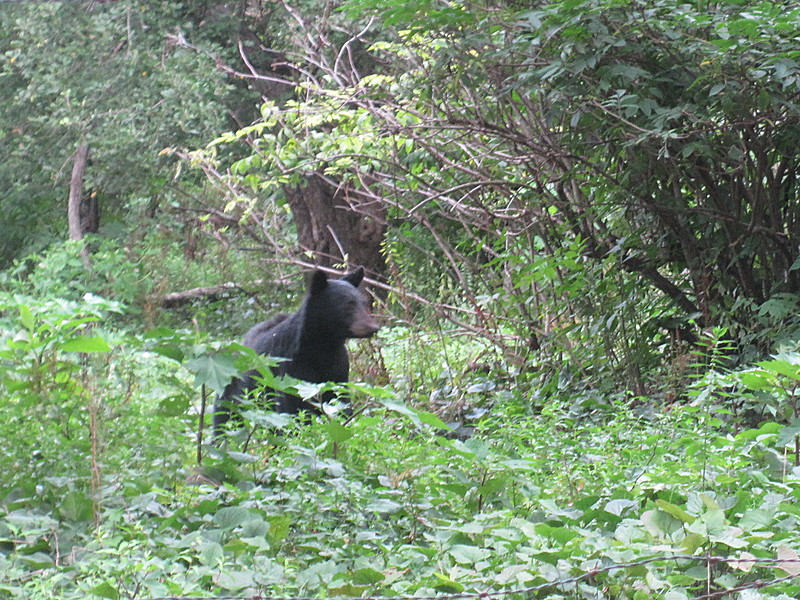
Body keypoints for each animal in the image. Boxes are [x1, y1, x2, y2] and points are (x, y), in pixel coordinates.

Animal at [209, 264, 378, 434]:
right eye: (348, 304)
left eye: (364, 302)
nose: (373, 327)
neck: (323, 347)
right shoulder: (291, 370)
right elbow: (292, 410)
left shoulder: (338, 370)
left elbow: (341, 402)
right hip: (230, 392)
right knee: (224, 421)